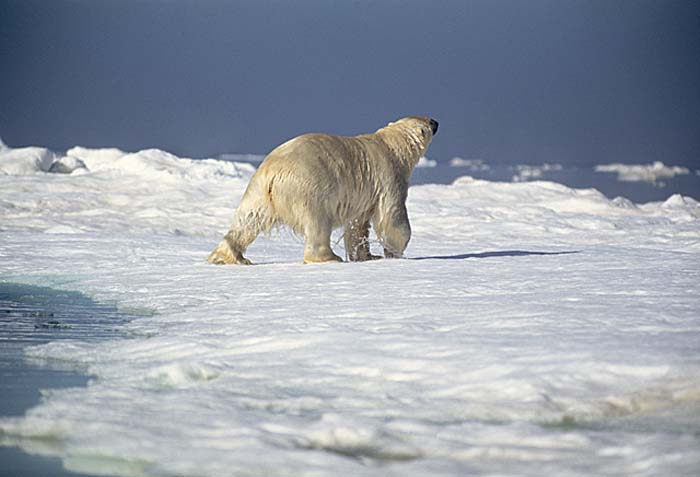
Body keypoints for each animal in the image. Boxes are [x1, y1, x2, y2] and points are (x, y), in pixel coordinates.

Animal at [206, 115, 438, 264]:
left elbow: (357, 224)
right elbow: (392, 217)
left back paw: (229, 257)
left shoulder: (364, 192)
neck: (390, 145)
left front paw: (368, 256)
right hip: (308, 188)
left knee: (247, 220)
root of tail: (273, 173)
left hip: (258, 191)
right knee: (318, 222)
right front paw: (395, 253)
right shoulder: (388, 175)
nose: (436, 121)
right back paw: (328, 257)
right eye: (428, 122)